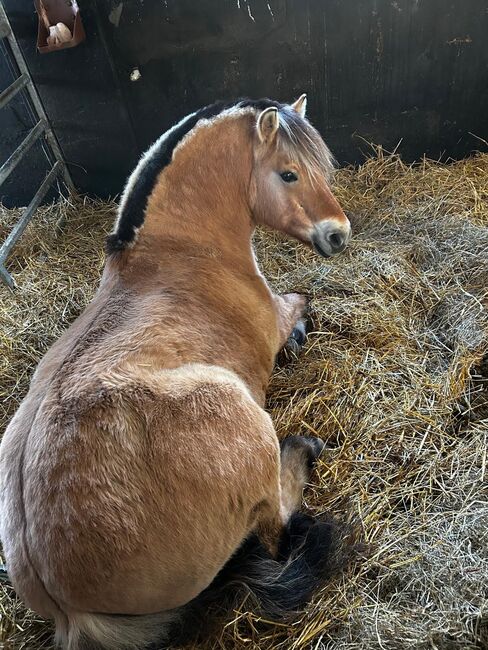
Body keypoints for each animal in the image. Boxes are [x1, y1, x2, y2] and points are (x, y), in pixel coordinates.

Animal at [0, 93, 350, 644]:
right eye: (289, 174)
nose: (339, 235)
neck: (179, 251)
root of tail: (69, 611)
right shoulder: (275, 315)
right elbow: (301, 300)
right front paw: (299, 332)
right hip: (237, 413)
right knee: (275, 526)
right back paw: (301, 450)